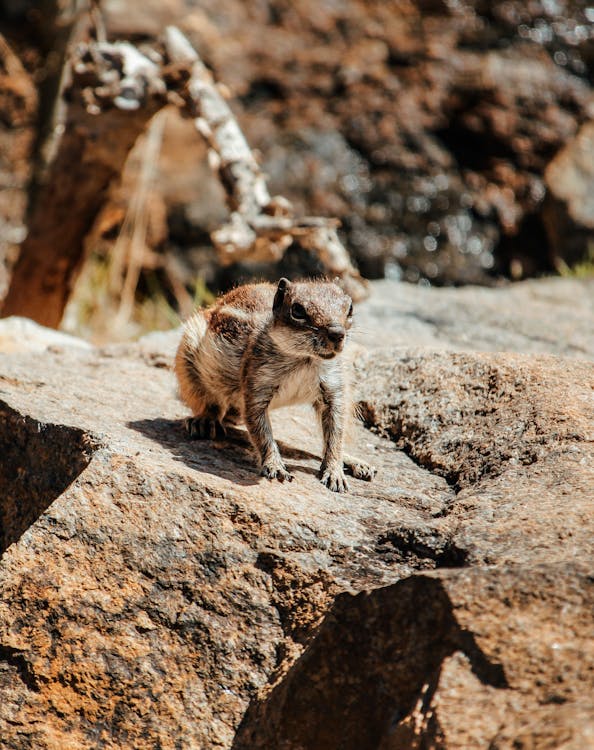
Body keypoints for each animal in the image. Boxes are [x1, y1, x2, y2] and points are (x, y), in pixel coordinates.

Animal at [172, 276, 374, 494]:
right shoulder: (256, 385)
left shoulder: (334, 390)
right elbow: (262, 433)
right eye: (298, 310)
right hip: (189, 359)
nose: (337, 333)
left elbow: (335, 433)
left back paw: (355, 462)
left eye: (350, 308)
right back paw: (204, 421)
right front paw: (275, 466)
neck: (305, 359)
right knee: (210, 402)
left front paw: (335, 471)